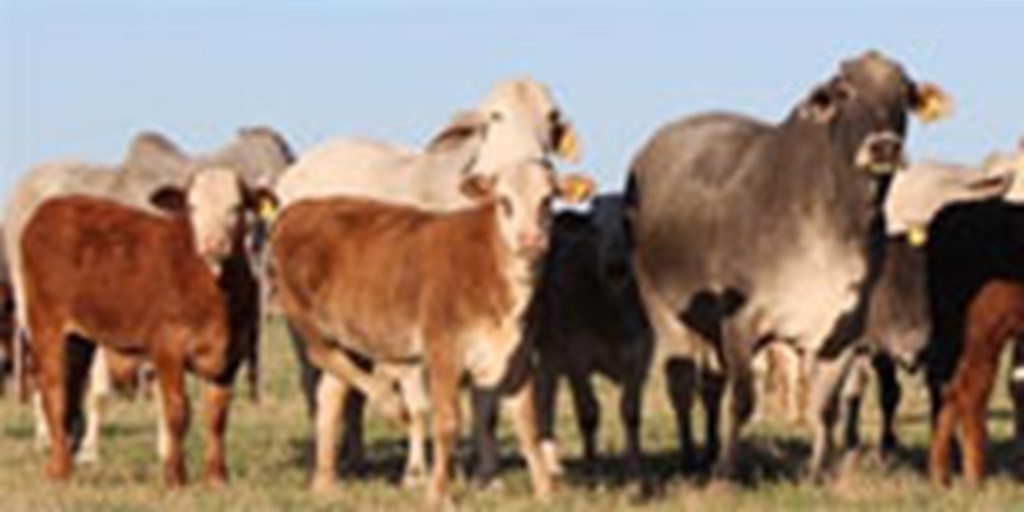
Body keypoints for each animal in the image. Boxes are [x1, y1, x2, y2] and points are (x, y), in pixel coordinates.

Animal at [618, 51, 946, 479]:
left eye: (904, 94)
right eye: (844, 91)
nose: (884, 147)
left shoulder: (843, 333)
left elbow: (825, 406)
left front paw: (818, 472)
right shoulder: (741, 321)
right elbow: (742, 401)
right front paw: (726, 474)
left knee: (710, 386)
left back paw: (708, 449)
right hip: (664, 308)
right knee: (683, 384)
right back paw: (692, 457)